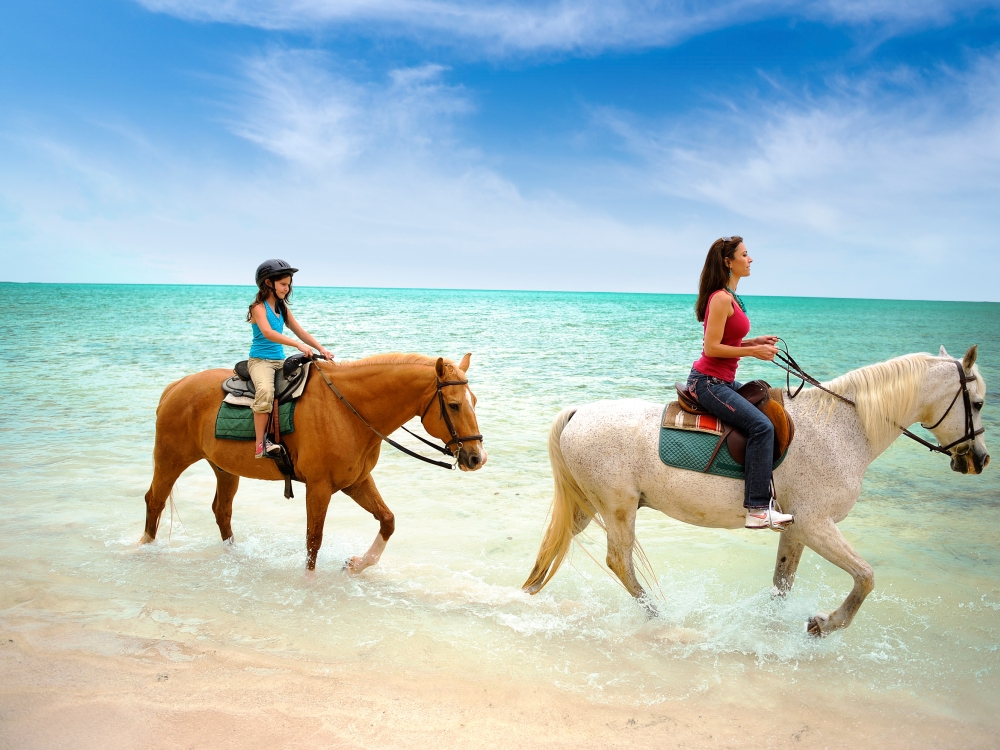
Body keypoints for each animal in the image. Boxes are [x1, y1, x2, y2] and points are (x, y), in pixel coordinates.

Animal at [140, 356, 484, 572]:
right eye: (454, 405)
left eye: (474, 401)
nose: (477, 457)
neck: (348, 411)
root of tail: (176, 387)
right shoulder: (319, 488)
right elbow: (313, 540)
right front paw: (310, 582)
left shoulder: (356, 483)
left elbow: (388, 520)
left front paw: (357, 565)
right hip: (171, 459)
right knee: (155, 500)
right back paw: (144, 549)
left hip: (224, 470)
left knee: (222, 510)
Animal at [528, 346, 988, 636]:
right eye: (980, 402)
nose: (979, 459)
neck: (845, 428)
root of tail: (579, 413)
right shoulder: (817, 525)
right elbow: (866, 577)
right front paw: (826, 624)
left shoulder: (797, 529)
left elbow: (782, 584)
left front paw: (771, 628)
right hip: (618, 508)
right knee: (619, 561)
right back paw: (659, 614)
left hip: (589, 506)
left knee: (556, 545)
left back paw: (529, 593)